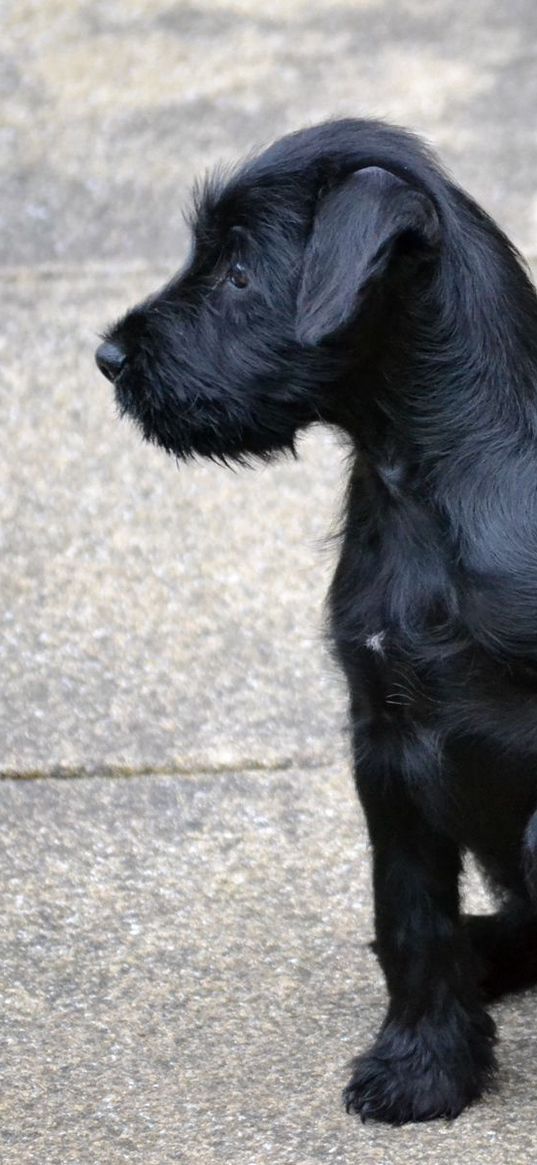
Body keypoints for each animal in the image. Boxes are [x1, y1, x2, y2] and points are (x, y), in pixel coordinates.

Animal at [96, 120, 537, 1127]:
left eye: (239, 271)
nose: (109, 357)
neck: (422, 478)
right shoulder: (385, 744)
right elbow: (408, 918)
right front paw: (422, 1065)